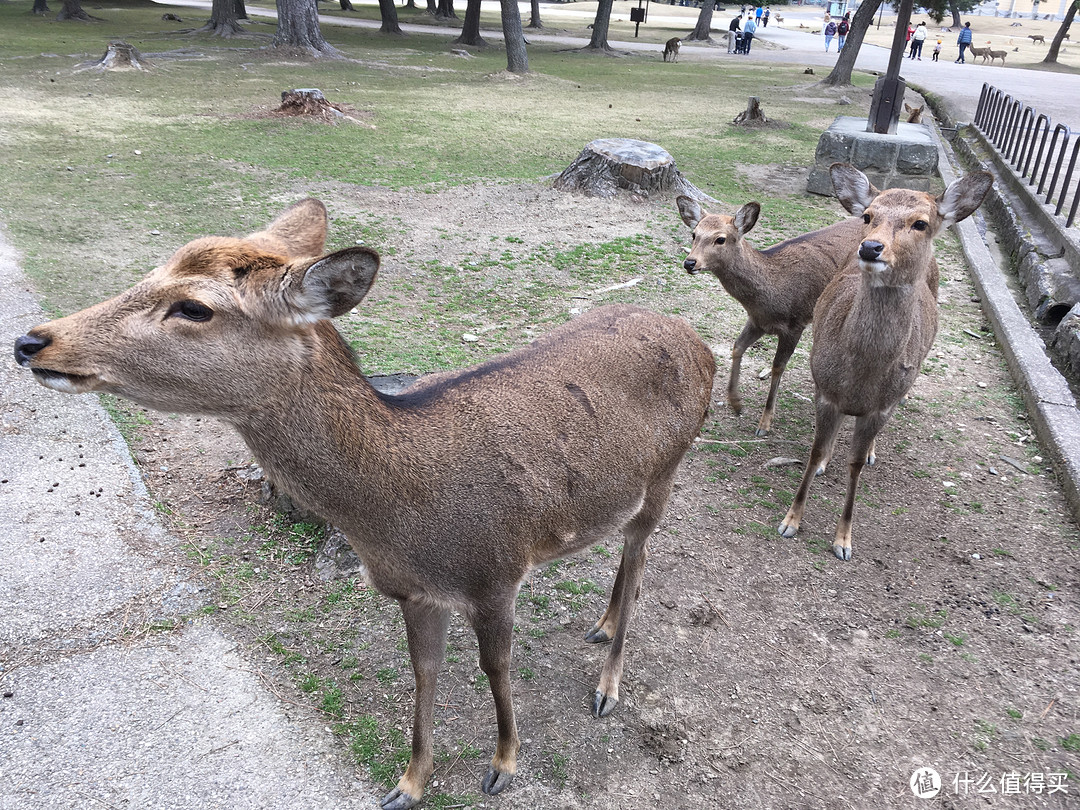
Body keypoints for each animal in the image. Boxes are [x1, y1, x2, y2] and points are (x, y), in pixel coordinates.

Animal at [12, 198, 717, 810]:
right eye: (152, 270)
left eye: (193, 306)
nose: (32, 341)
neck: (397, 514)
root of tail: (698, 338)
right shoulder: (411, 589)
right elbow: (424, 672)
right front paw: (408, 785)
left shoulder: (496, 571)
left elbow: (494, 665)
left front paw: (503, 766)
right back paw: (600, 626)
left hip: (670, 466)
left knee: (640, 549)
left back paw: (607, 686)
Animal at [678, 196, 864, 438]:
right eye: (694, 234)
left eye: (720, 239)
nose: (690, 262)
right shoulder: (757, 321)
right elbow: (737, 347)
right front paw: (736, 403)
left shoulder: (795, 324)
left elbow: (777, 367)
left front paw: (764, 424)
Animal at [777, 162, 993, 561]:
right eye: (868, 215)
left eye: (920, 222)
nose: (871, 247)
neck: (863, 373)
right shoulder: (826, 392)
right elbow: (814, 452)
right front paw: (791, 521)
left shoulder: (881, 407)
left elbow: (855, 464)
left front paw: (843, 541)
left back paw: (871, 452)